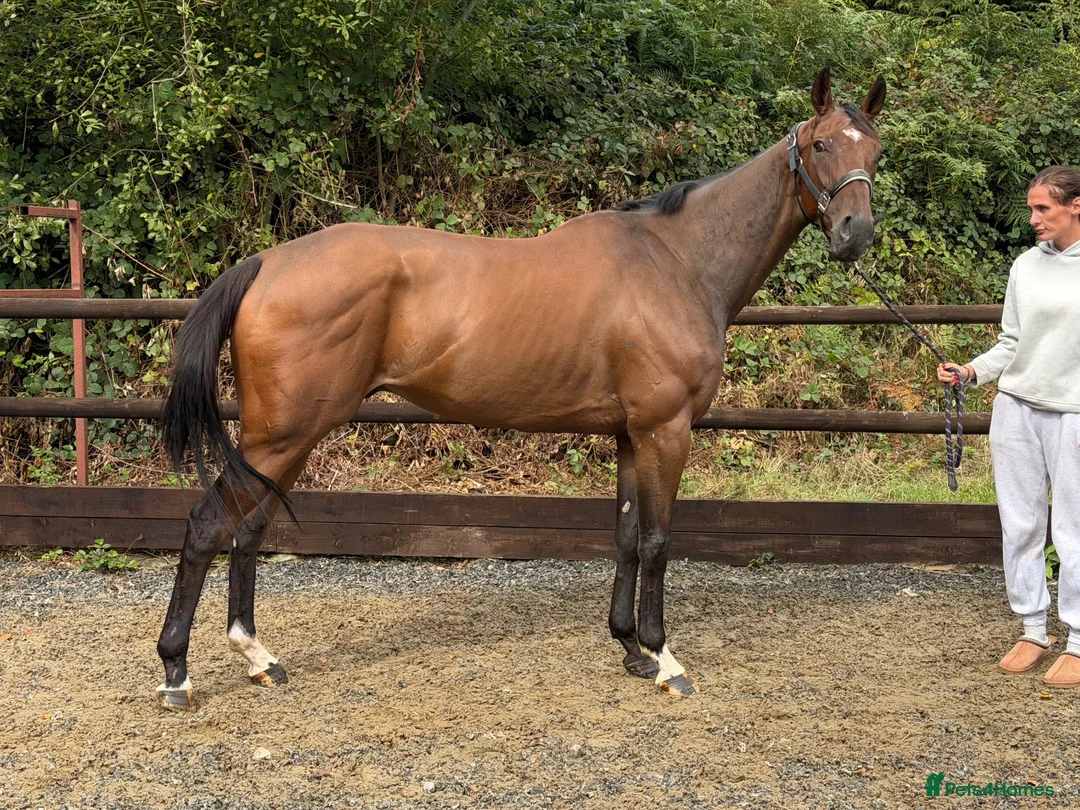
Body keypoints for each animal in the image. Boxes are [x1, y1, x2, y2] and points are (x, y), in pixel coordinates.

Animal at [157, 68, 886, 712]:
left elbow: (625, 535)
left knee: (248, 528)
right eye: (821, 144)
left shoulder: (630, 434)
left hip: (288, 438)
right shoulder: (665, 429)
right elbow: (658, 540)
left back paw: (258, 658)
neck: (677, 263)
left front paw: (630, 649)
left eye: (876, 150)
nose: (856, 235)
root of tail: (264, 263)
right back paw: (176, 674)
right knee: (207, 526)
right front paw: (664, 658)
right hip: (284, 434)